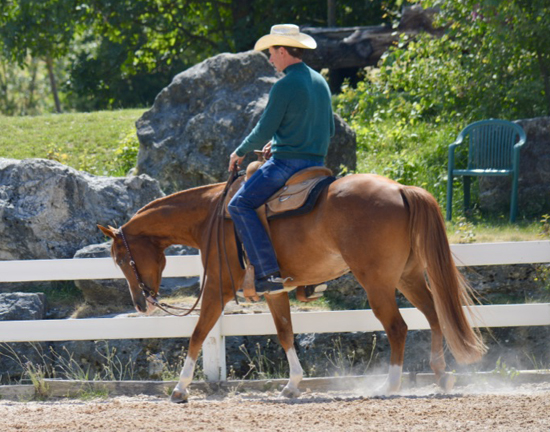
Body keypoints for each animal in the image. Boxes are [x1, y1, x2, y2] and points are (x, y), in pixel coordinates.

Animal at [99, 174, 488, 404]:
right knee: (434, 315)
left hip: (377, 282)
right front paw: (292, 385)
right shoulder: (274, 292)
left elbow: (198, 333)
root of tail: (400, 189)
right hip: (408, 277)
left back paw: (389, 386)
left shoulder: (217, 290)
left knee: (398, 327)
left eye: (122, 258)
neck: (211, 216)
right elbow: (285, 333)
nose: (141, 304)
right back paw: (441, 375)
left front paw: (180, 389)